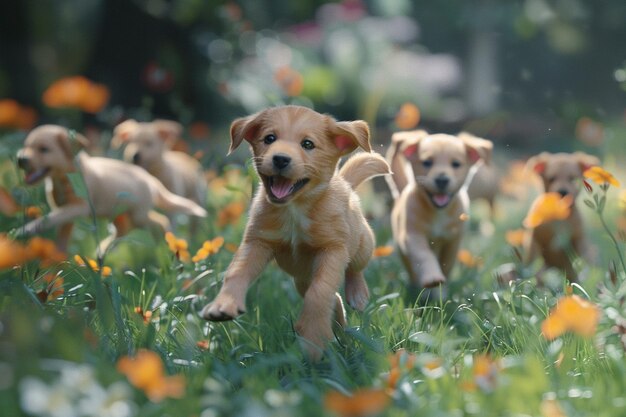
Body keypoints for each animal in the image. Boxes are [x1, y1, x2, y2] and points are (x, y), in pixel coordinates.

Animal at [15, 125, 207, 252]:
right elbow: (60, 234)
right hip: (119, 214)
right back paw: (102, 251)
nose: (20, 159)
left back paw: (166, 241)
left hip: (138, 214)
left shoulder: (77, 207)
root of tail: (151, 179)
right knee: (123, 230)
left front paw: (26, 230)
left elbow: (49, 219)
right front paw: (57, 260)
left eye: (43, 149)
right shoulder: (65, 214)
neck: (65, 177)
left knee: (161, 220)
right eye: (26, 145)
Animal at [199, 104, 390, 358]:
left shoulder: (333, 249)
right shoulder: (257, 242)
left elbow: (320, 292)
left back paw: (356, 295)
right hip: (302, 278)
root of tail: (345, 183)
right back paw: (339, 331)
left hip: (362, 245)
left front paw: (312, 337)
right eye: (269, 138)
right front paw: (223, 305)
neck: (294, 211)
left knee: (353, 271)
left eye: (307, 144)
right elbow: (236, 273)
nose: (280, 159)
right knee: (335, 299)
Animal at [386, 130, 492, 290]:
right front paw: (432, 277)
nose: (442, 180)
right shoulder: (412, 236)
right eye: (427, 162)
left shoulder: (452, 241)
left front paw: (442, 287)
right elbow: (424, 255)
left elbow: (446, 264)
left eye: (456, 164)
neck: (438, 213)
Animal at [520, 151, 596, 282]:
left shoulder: (579, 240)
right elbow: (536, 265)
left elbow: (579, 262)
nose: (562, 192)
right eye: (551, 179)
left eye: (572, 178)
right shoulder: (534, 242)